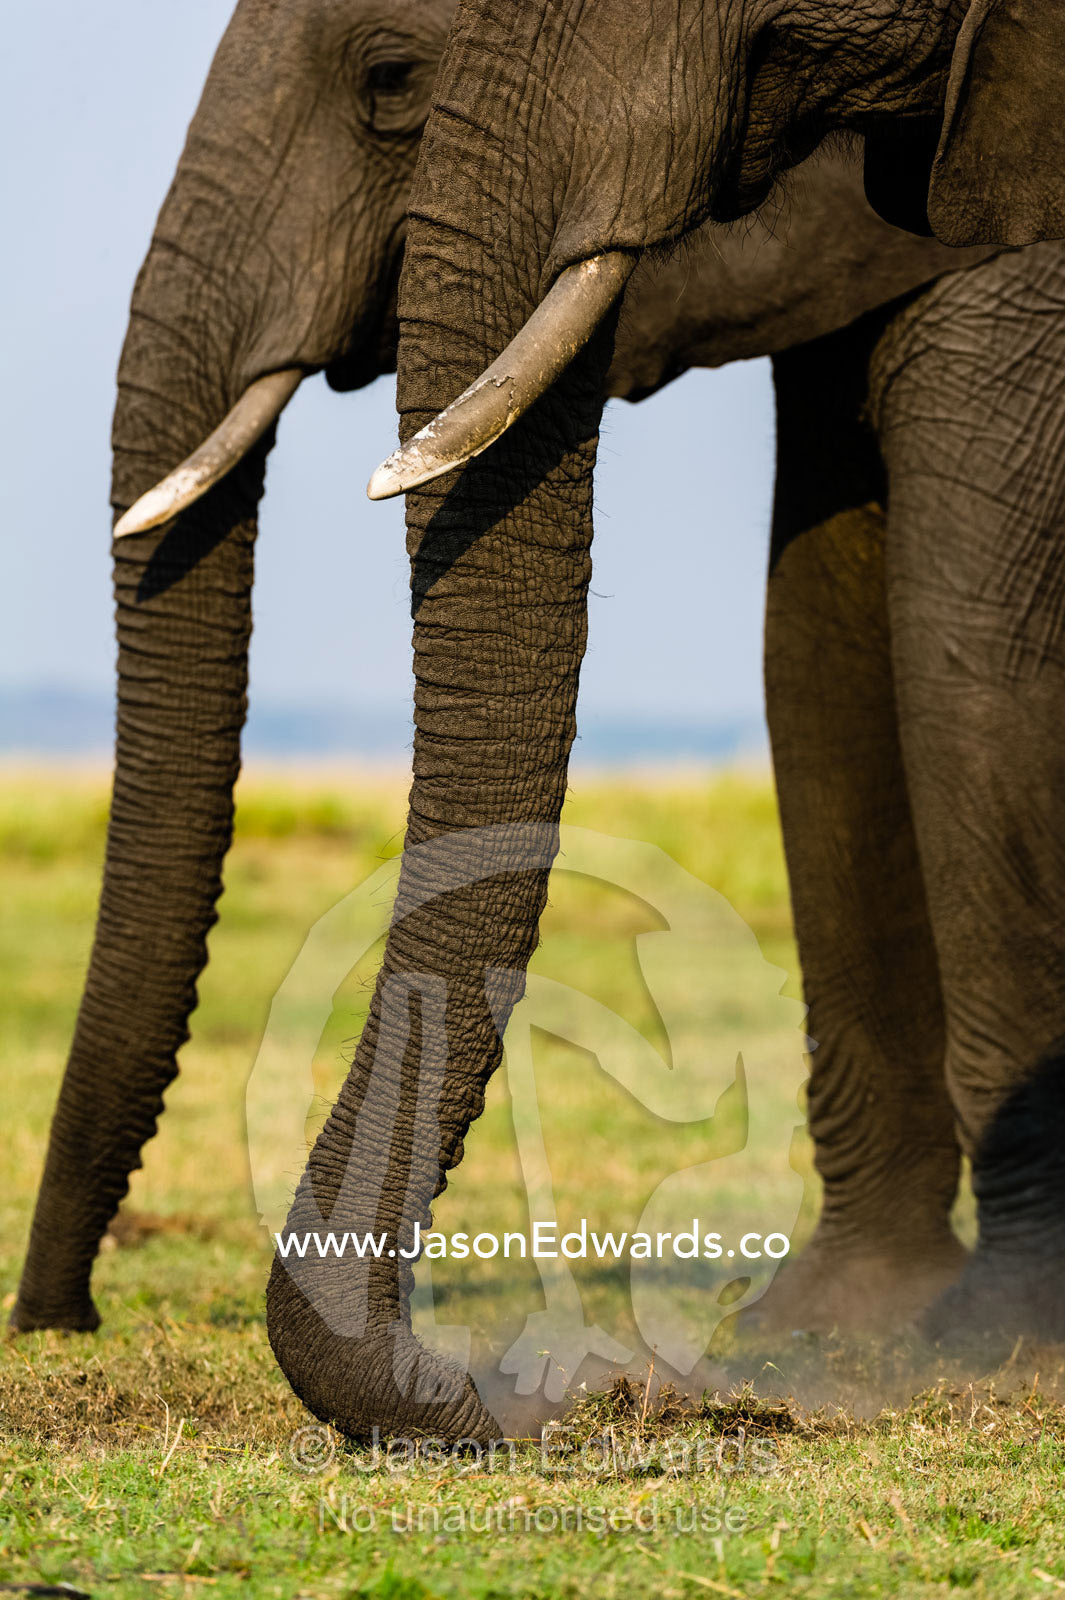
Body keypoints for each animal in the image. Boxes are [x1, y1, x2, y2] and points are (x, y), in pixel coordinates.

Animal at [11, 0, 1060, 1445]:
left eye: (392, 83)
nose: (58, 1316)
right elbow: (817, 644)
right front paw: (835, 1330)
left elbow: (969, 646)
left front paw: (998, 1341)